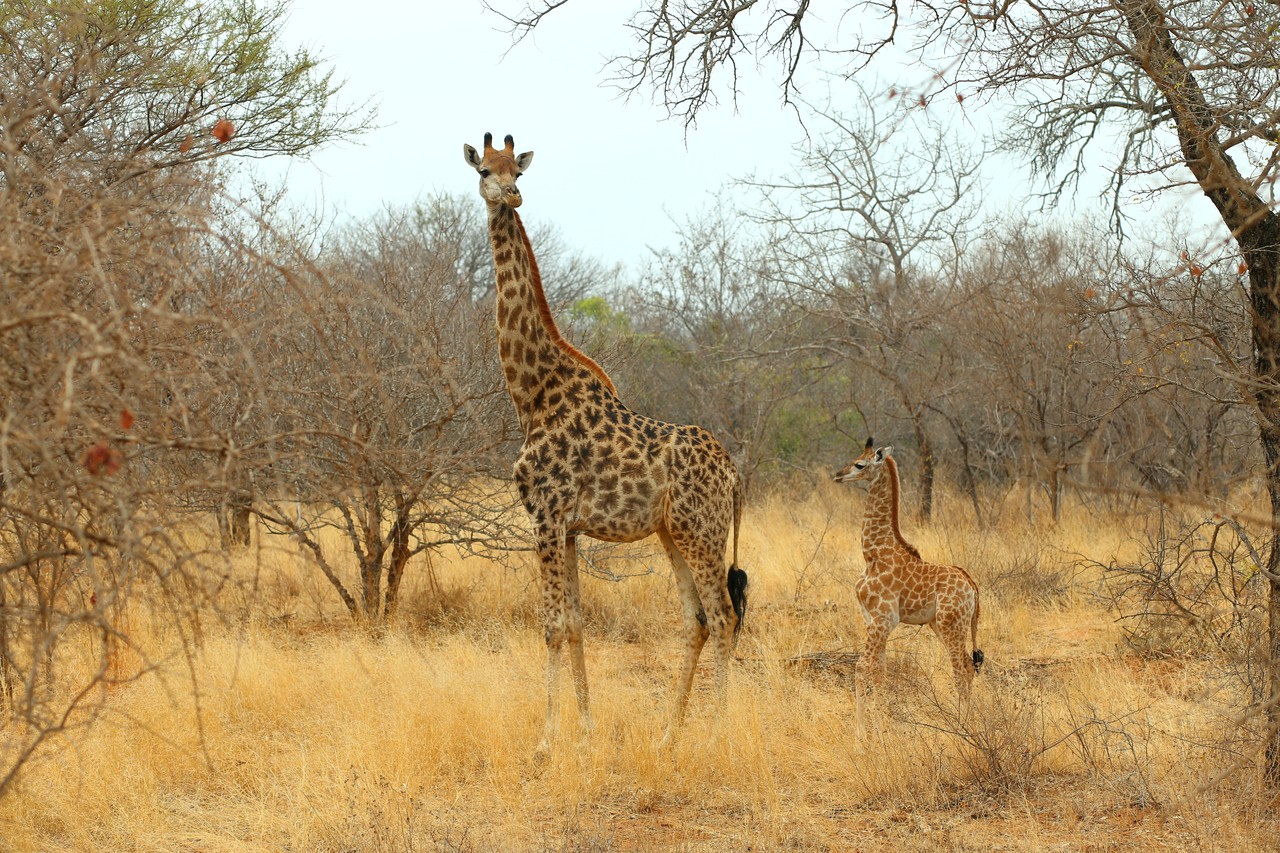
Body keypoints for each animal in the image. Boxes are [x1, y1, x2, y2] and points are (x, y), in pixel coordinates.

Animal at [463, 133, 749, 755]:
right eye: (484, 170)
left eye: (515, 169)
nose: (512, 194)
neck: (531, 394)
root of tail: (735, 475)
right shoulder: (567, 527)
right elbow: (574, 624)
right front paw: (587, 733)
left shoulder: (545, 516)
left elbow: (550, 626)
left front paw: (546, 742)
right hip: (673, 533)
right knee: (699, 619)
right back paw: (667, 736)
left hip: (703, 531)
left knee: (724, 616)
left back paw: (716, 736)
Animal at [834, 438, 983, 730]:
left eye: (860, 464)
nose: (838, 475)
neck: (873, 552)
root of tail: (972, 588)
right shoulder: (872, 619)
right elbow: (879, 671)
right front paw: (881, 728)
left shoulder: (883, 619)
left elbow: (861, 668)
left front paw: (861, 733)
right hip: (941, 624)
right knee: (968, 667)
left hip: (951, 624)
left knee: (962, 668)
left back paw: (964, 726)